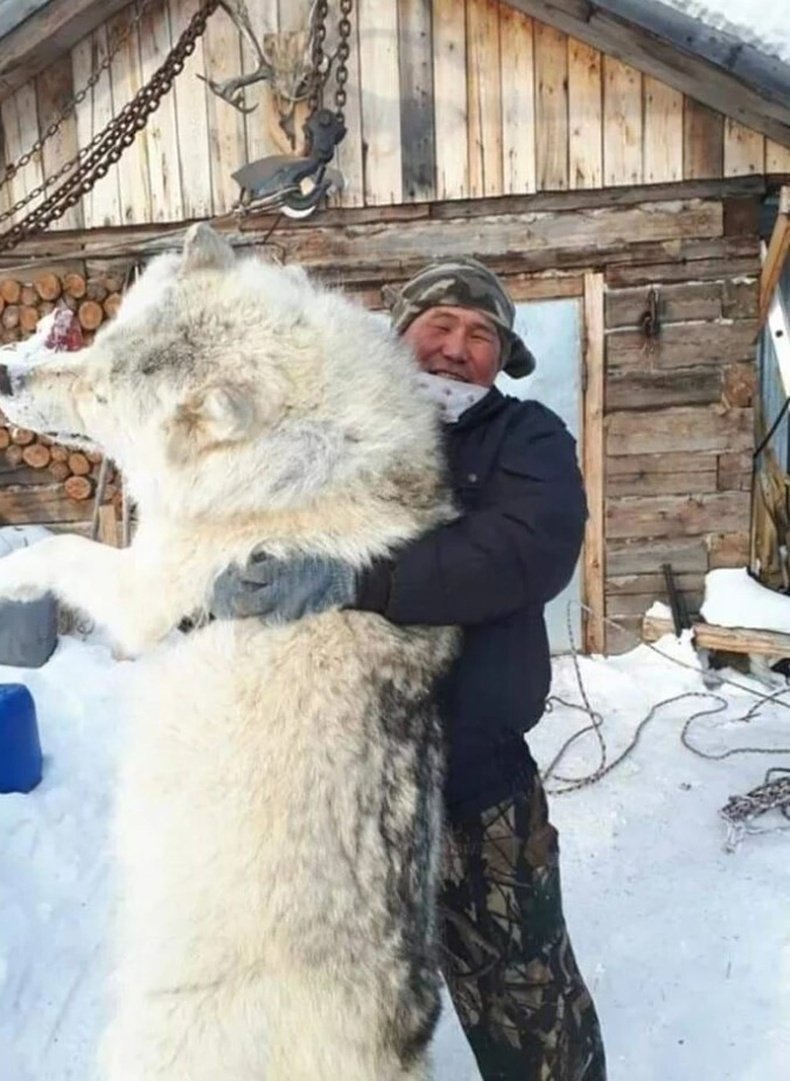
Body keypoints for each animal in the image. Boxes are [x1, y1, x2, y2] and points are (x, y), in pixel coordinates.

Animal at [0, 224, 457, 1081]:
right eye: (99, 344)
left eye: (103, 397)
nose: (8, 374)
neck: (291, 479)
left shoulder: (144, 591)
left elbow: (58, 553)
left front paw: (10, 573)